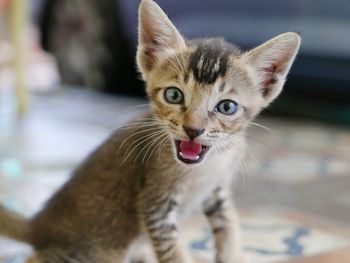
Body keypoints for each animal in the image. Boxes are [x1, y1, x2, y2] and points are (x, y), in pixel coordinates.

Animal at [0, 0, 300, 263]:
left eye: (227, 107)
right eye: (173, 95)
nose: (193, 129)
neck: (206, 167)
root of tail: (40, 224)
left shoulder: (217, 191)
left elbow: (230, 226)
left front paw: (232, 253)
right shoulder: (155, 206)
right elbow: (174, 254)